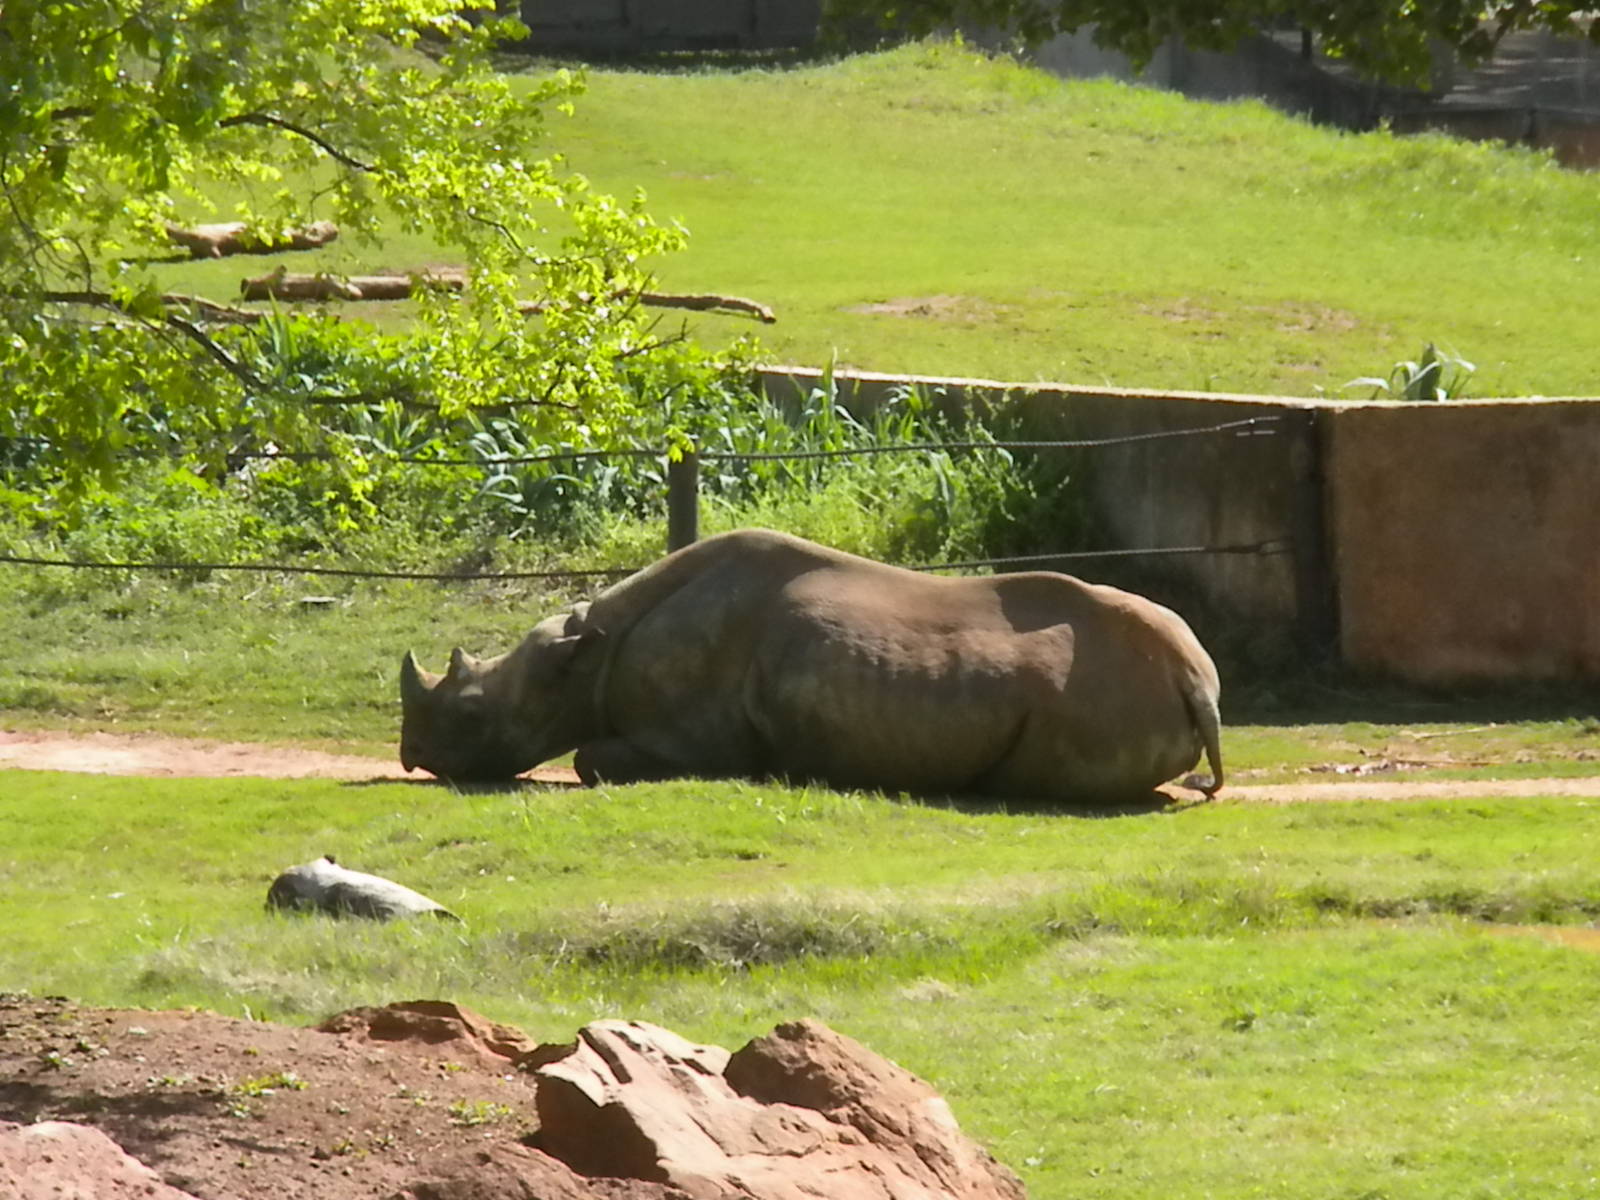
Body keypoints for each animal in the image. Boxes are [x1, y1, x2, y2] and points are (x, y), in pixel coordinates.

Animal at [399, 529, 1223, 803]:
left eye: (472, 714)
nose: (414, 757)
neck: (587, 655)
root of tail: (1198, 683)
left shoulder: (697, 732)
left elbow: (590, 759)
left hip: (1095, 697)